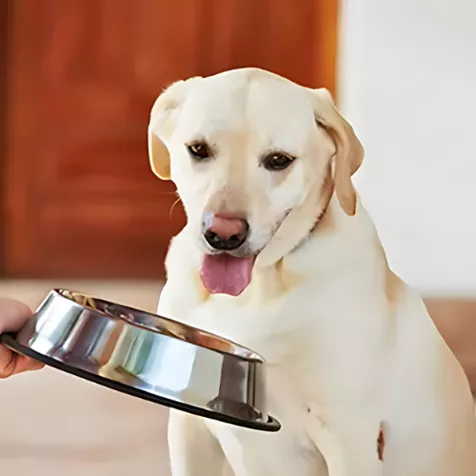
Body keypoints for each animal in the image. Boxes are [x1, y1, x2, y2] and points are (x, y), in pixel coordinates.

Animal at [147, 68, 474, 476]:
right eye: (199, 150)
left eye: (278, 160)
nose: (223, 234)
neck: (256, 291)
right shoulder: (188, 421)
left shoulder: (350, 436)